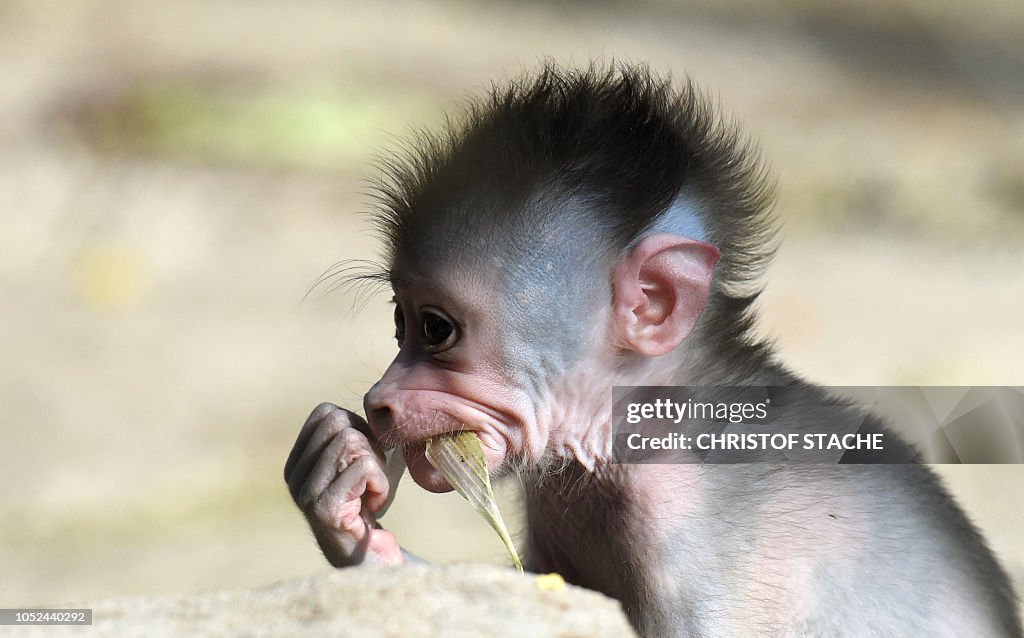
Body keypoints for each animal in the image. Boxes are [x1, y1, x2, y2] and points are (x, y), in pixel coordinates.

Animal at [284, 63, 1022, 636]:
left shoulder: (682, 526)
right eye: (399, 322)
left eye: (436, 329)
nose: (378, 402)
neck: (638, 424)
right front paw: (345, 503)